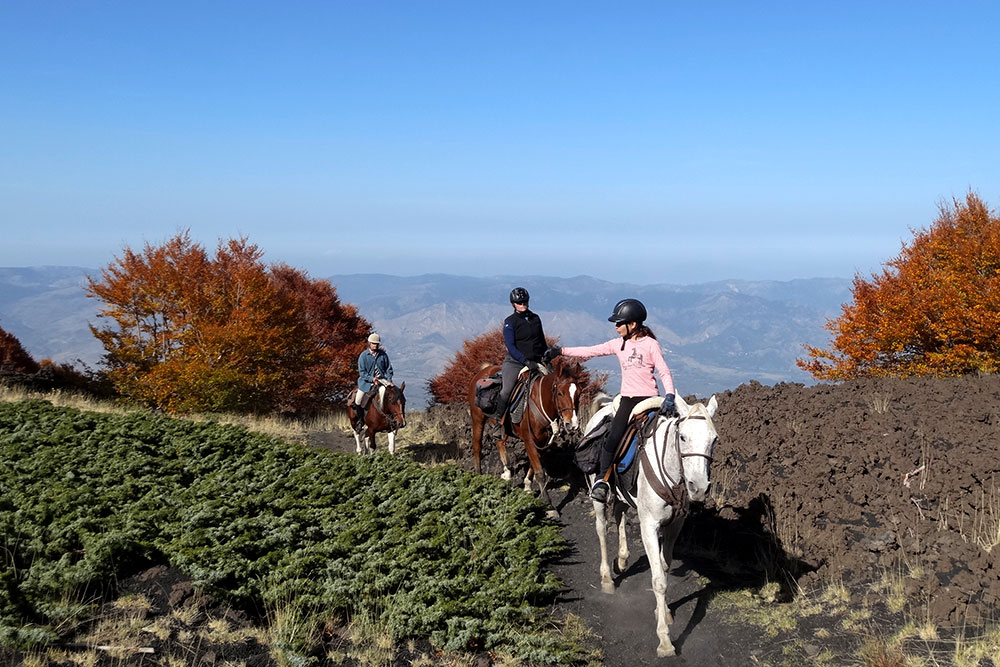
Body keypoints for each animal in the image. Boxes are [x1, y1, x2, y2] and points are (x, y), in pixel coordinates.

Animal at [470, 362, 584, 516]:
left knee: (500, 443)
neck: (539, 402)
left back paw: (507, 473)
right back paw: (479, 474)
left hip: (502, 428)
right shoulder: (529, 440)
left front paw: (527, 486)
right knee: (477, 446)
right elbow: (540, 473)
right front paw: (549, 506)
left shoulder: (541, 442)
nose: (572, 425)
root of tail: (483, 371)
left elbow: (532, 466)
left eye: (579, 393)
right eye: (560, 393)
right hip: (477, 419)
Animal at [584, 392, 720, 656]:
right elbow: (658, 580)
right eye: (683, 436)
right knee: (601, 529)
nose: (698, 487)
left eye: (714, 439)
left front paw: (664, 611)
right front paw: (665, 640)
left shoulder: (675, 525)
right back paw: (607, 578)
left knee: (619, 515)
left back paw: (622, 559)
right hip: (597, 494)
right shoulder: (649, 526)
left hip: (623, 496)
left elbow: (664, 567)